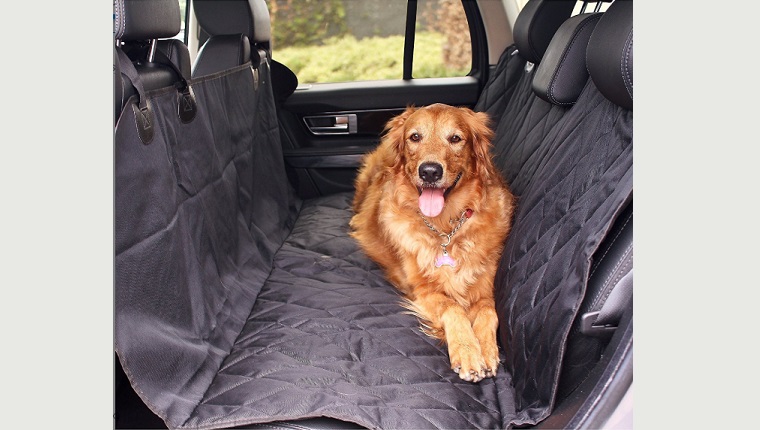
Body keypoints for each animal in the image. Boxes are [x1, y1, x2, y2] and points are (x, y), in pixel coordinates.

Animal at [350, 104, 516, 382]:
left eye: (455, 138)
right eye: (415, 137)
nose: (429, 171)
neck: (446, 227)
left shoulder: (485, 286)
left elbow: (487, 310)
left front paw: (486, 349)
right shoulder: (423, 290)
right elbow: (453, 307)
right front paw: (468, 350)